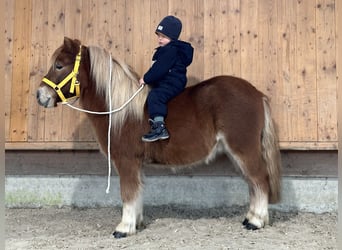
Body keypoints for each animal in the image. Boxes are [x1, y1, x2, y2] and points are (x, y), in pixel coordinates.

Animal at [36, 37, 280, 238]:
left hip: (244, 149)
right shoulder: (136, 164)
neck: (120, 109)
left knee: (259, 179)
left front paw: (124, 228)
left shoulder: (126, 161)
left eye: (59, 65)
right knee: (253, 183)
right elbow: (137, 193)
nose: (40, 96)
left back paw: (256, 221)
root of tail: (257, 94)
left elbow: (128, 193)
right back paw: (250, 218)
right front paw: (137, 223)